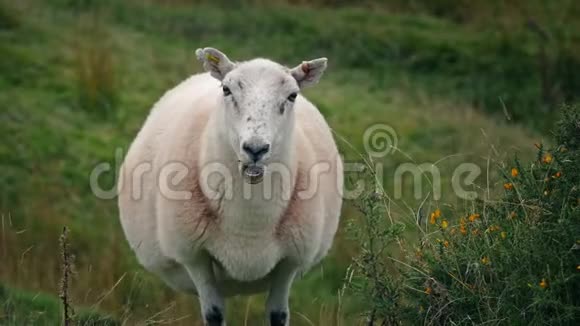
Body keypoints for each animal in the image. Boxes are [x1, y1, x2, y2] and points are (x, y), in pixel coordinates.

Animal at [118, 47, 344, 324]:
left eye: (293, 95)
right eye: (226, 90)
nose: (255, 149)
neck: (248, 225)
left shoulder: (291, 261)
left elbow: (278, 315)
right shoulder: (195, 257)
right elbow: (213, 314)